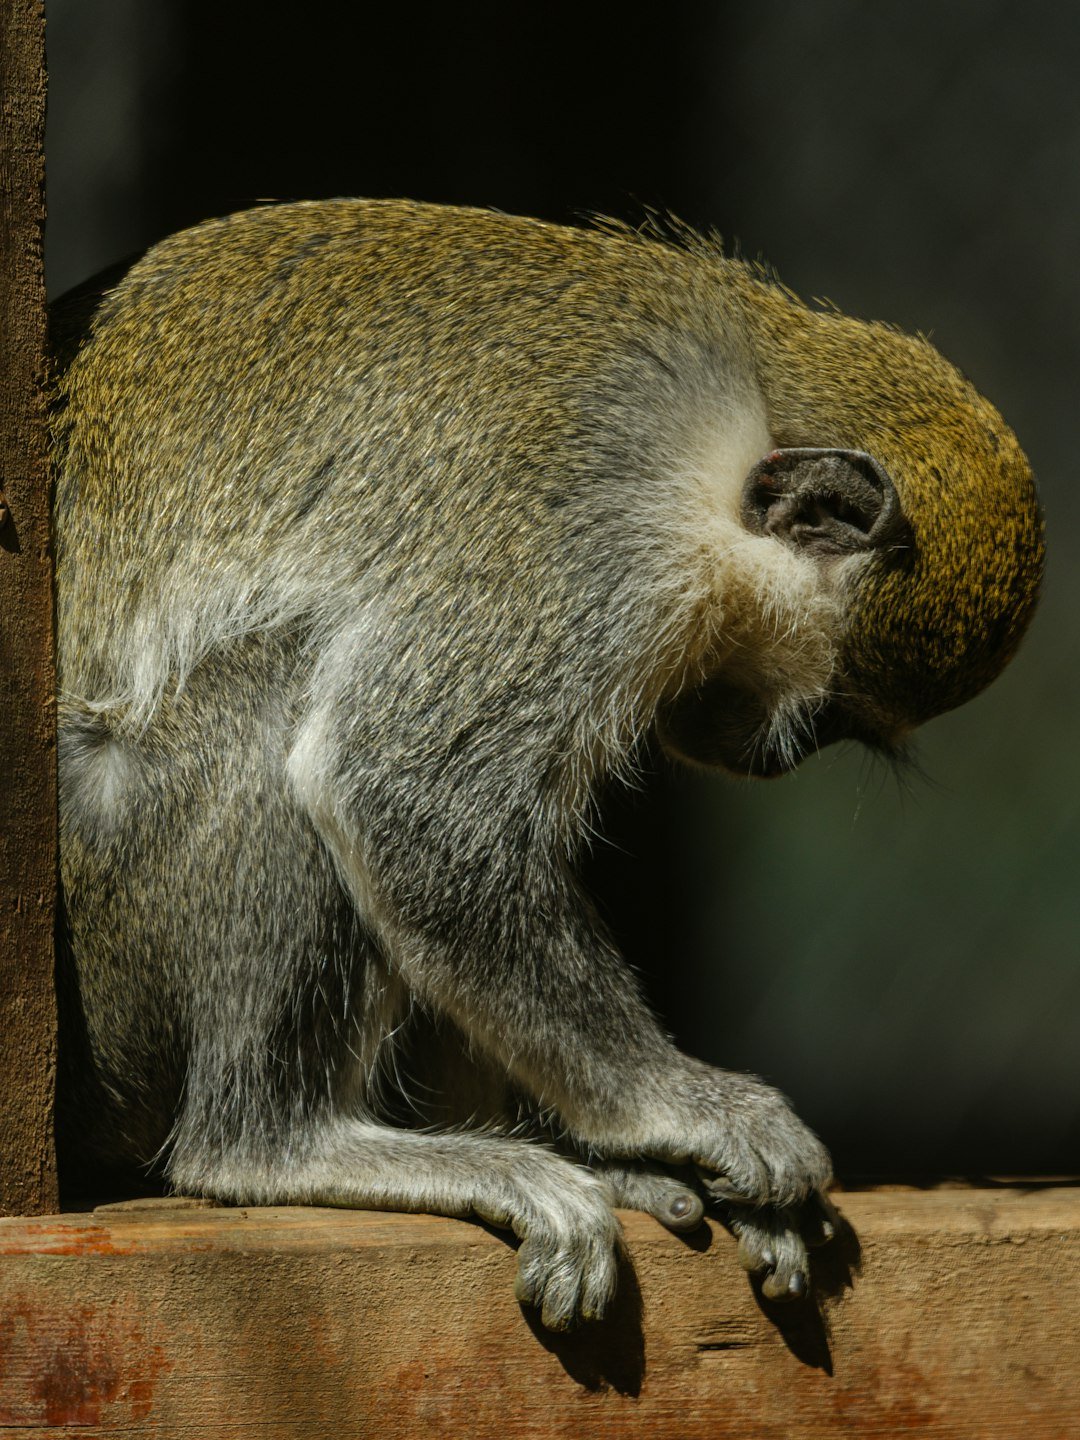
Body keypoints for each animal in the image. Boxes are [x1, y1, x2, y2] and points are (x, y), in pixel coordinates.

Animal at [48, 199, 1043, 1331]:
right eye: (827, 712)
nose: (776, 760)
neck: (744, 408)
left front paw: (628, 1145)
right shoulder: (591, 531)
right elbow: (407, 792)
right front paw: (679, 1106)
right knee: (267, 694)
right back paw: (277, 1144)